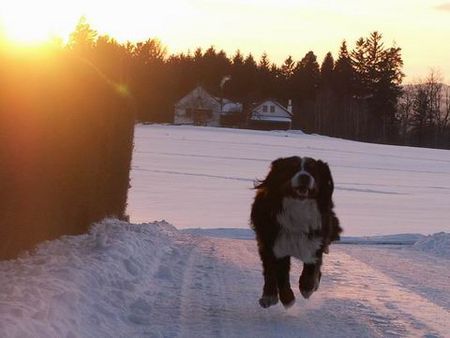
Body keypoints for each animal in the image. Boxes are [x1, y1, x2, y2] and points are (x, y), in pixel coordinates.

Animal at [250, 156, 342, 308]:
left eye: (312, 170)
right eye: (292, 168)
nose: (304, 176)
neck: (298, 207)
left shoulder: (315, 240)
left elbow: (312, 266)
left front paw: (307, 287)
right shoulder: (276, 245)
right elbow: (280, 274)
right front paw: (287, 298)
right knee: (269, 271)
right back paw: (269, 296)